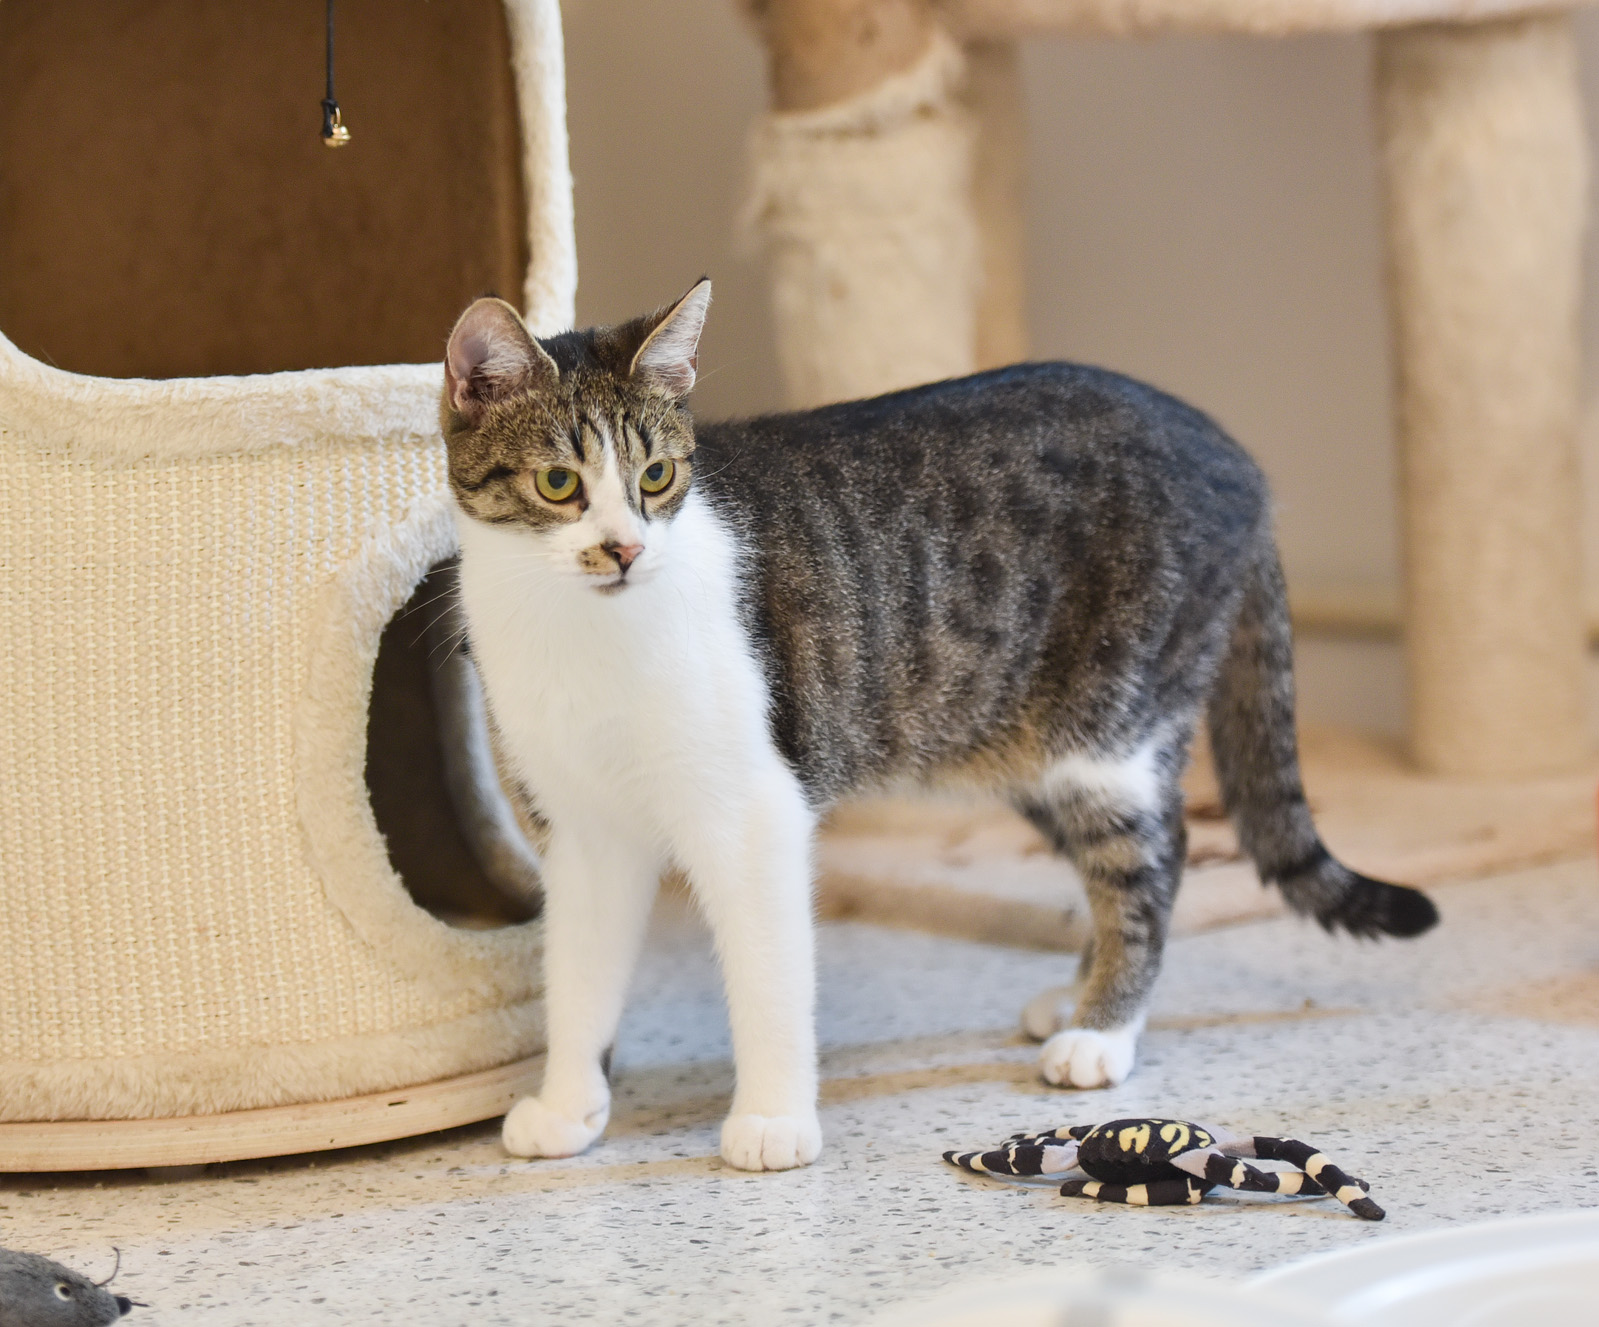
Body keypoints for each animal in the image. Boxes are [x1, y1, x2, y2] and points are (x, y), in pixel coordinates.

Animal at [440, 279, 1438, 1172]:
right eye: (558, 482)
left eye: (656, 475)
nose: (624, 548)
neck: (585, 635)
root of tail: (1238, 459)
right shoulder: (582, 833)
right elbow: (577, 978)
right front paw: (569, 1108)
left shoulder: (753, 811)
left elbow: (768, 976)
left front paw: (772, 1121)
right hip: (1025, 747)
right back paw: (1075, 997)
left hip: (1107, 727)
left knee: (1153, 864)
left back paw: (1101, 1033)